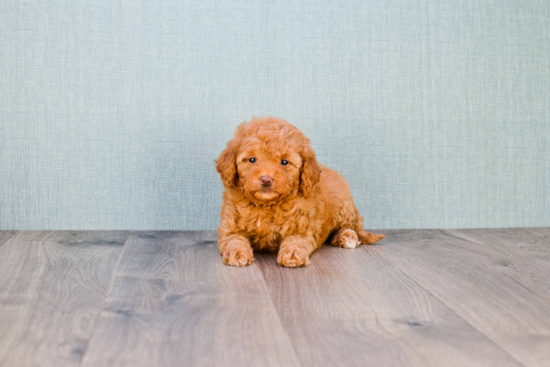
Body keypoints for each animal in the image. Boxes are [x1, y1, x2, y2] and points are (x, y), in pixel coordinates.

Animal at [215, 116, 384, 268]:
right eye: (251, 160)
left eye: (284, 162)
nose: (266, 179)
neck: (267, 204)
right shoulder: (230, 227)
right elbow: (233, 239)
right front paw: (237, 253)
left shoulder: (302, 229)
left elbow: (296, 240)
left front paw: (291, 254)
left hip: (344, 207)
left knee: (352, 227)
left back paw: (347, 237)